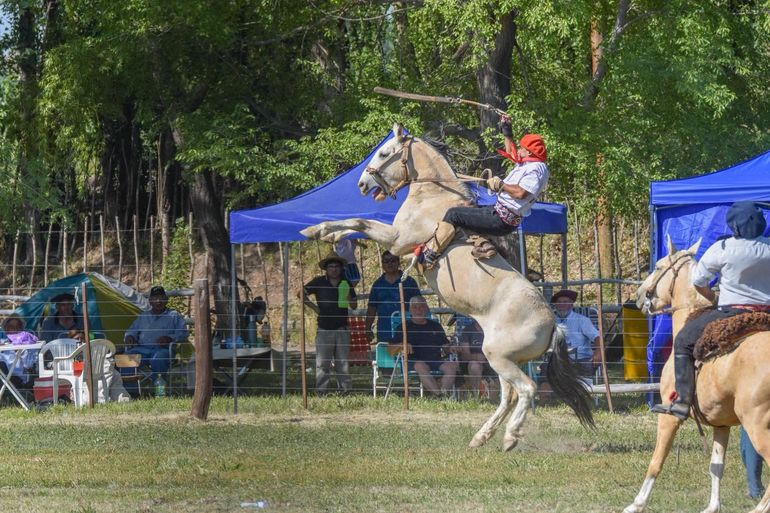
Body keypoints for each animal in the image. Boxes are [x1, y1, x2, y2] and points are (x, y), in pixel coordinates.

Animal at [301, 123, 593, 451]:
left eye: (385, 153)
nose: (363, 184)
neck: (433, 194)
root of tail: (554, 324)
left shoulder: (398, 240)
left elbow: (360, 222)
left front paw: (319, 230)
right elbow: (356, 223)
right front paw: (321, 231)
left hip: (498, 356)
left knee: (526, 389)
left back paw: (509, 437)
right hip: (503, 360)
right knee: (509, 395)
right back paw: (480, 437)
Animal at [625, 237, 770, 513]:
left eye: (659, 267)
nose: (638, 296)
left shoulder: (669, 416)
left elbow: (656, 461)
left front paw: (636, 503)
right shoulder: (722, 423)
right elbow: (716, 466)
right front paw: (712, 506)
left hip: (757, 424)